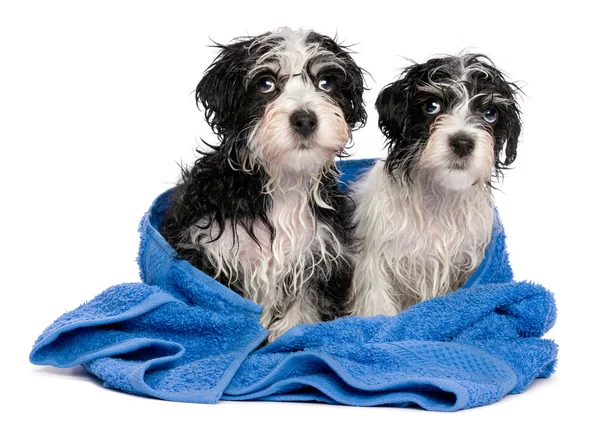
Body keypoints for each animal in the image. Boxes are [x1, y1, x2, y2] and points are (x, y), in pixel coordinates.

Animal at [162, 27, 366, 340]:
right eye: (266, 84)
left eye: (326, 83)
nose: (304, 119)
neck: (283, 183)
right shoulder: (212, 252)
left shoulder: (315, 256)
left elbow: (301, 314)